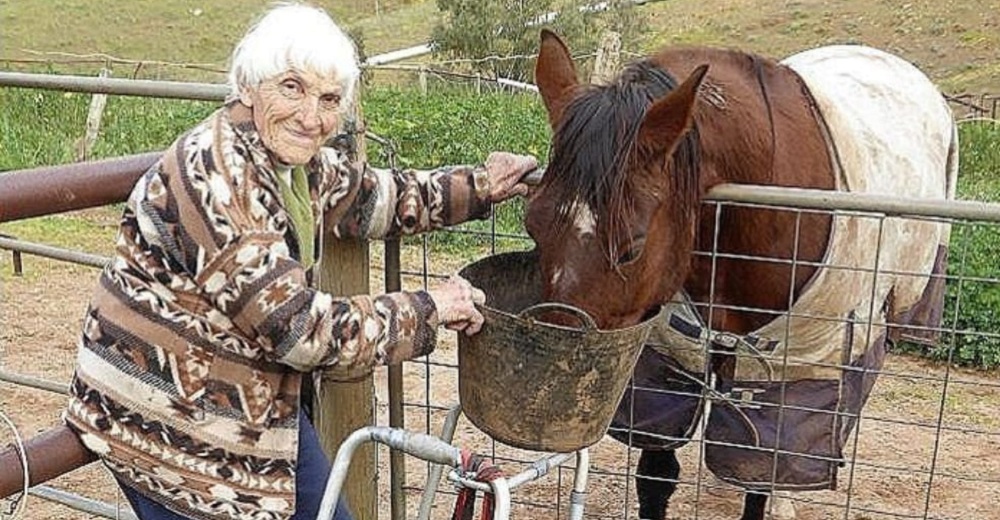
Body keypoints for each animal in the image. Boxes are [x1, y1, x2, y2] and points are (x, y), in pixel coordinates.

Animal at [528, 29, 956, 520]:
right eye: (532, 224)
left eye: (631, 246)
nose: (554, 386)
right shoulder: (672, 364)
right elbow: (656, 475)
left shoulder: (782, 375)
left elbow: (758, 477)